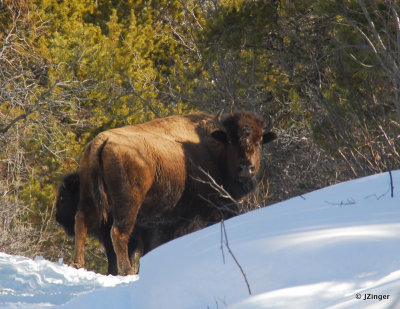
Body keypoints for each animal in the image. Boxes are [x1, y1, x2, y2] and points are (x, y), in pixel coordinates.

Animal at [61, 110, 276, 274]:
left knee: (81, 221)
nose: (246, 168)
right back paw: (127, 271)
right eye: (230, 141)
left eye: (259, 142)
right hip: (128, 204)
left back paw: (78, 264)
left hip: (89, 197)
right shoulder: (207, 212)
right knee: (119, 233)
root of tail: (101, 141)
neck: (215, 151)